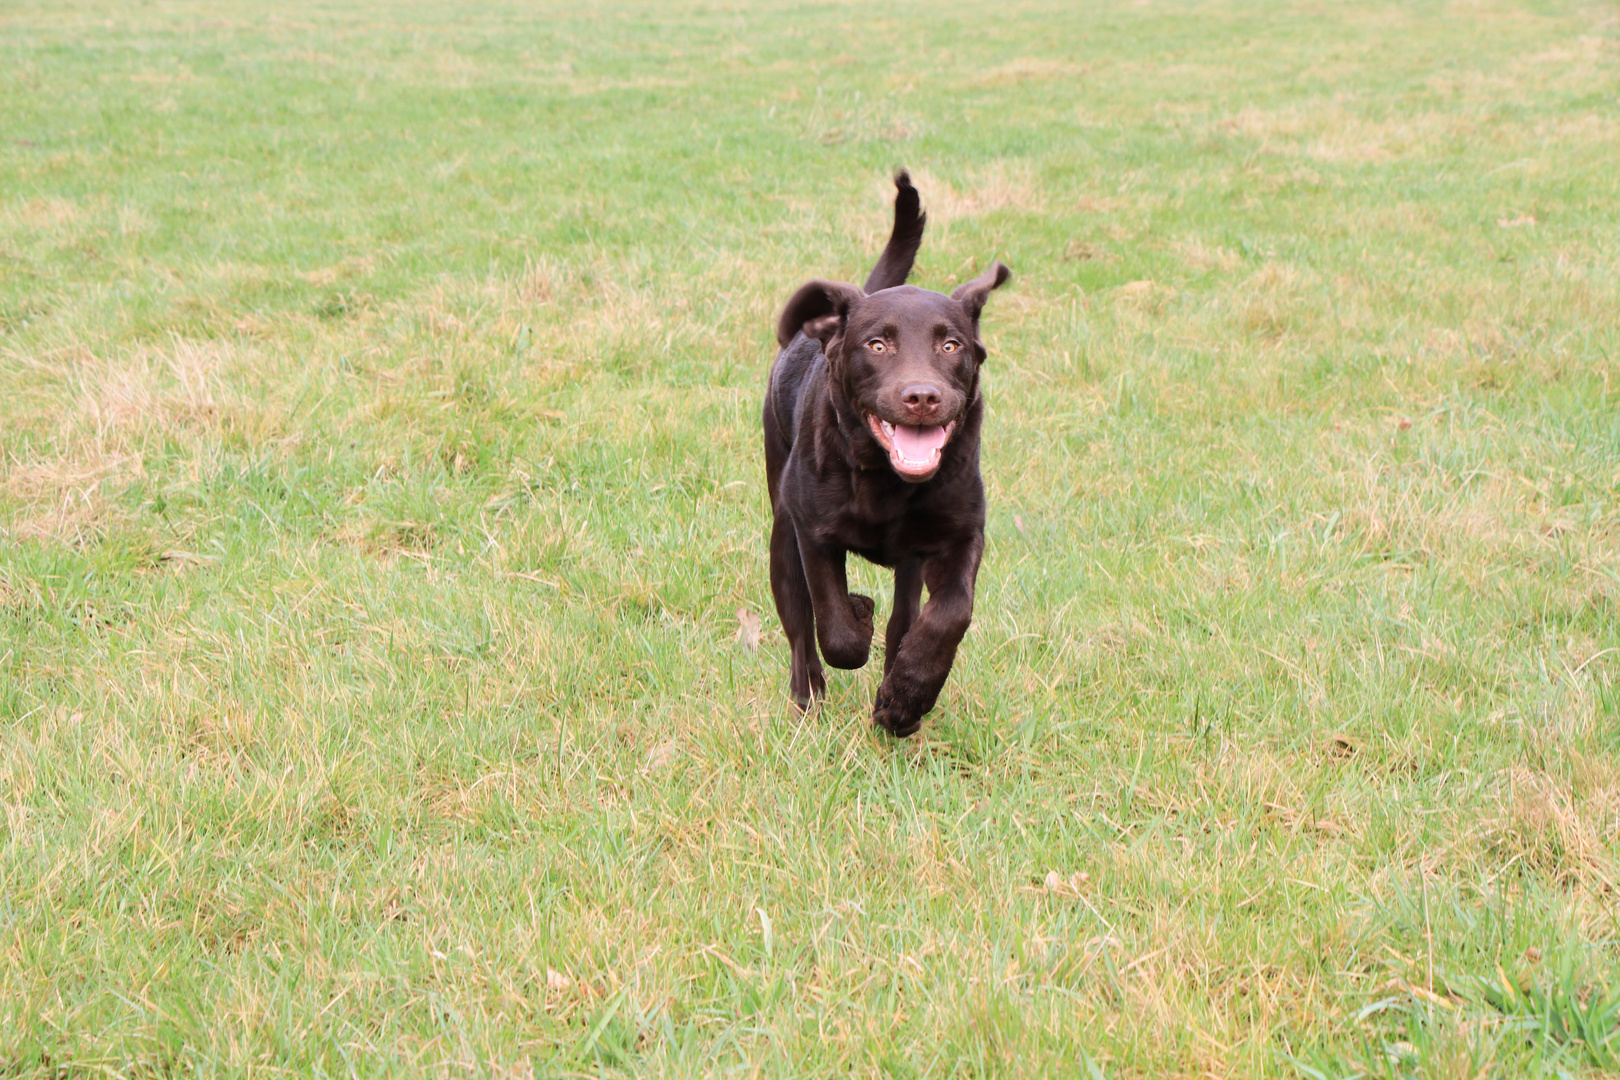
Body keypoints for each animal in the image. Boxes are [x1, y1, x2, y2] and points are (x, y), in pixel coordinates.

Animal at [761, 173, 1010, 738]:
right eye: (877, 345)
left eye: (951, 346)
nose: (922, 396)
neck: (888, 483)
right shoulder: (812, 531)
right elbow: (834, 627)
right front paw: (857, 616)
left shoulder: (960, 535)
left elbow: (949, 615)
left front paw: (905, 699)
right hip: (781, 526)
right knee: (800, 624)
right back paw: (807, 694)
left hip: (909, 565)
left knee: (903, 619)